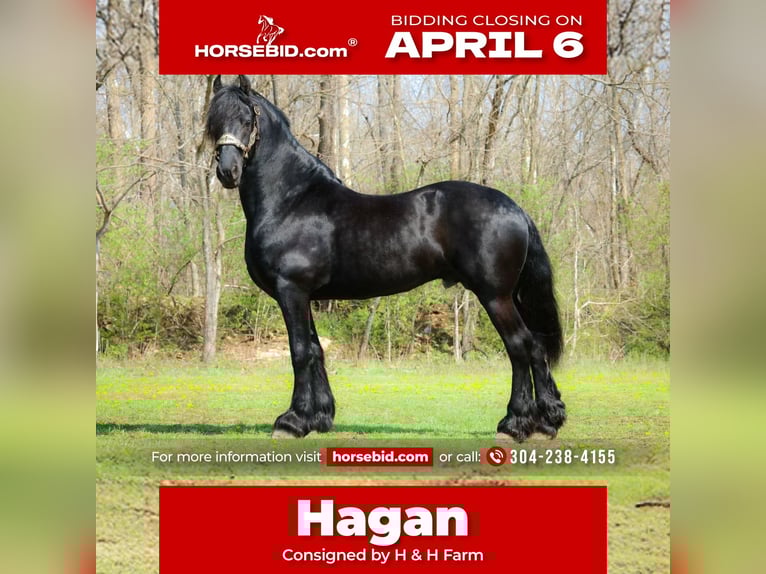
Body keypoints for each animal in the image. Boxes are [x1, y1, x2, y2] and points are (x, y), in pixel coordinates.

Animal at [206, 75, 566, 442]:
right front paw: (318, 418)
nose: (228, 171)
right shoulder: (305, 296)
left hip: (496, 296)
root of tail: (516, 209)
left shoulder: (291, 291)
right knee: (537, 346)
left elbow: (300, 352)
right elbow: (316, 350)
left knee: (520, 346)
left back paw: (513, 424)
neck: (292, 200)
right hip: (511, 297)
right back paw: (546, 423)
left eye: (247, 120)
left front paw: (291, 422)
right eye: (213, 123)